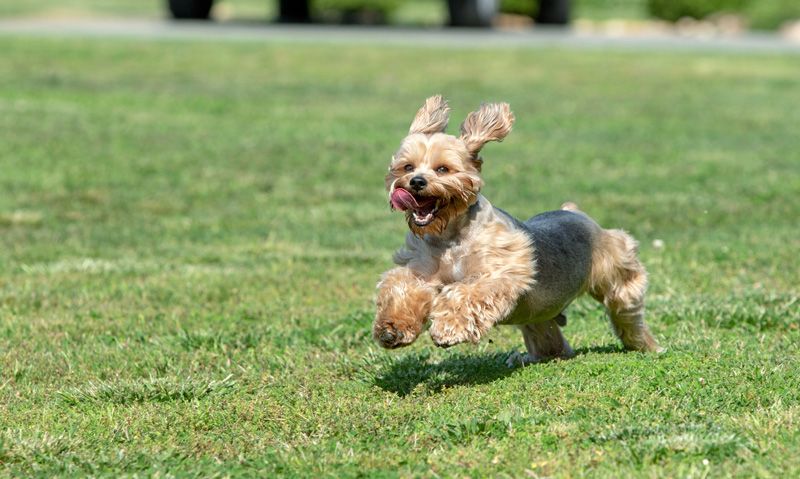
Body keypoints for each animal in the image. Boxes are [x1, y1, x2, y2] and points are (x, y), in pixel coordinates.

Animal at [376, 95, 664, 366]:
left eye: (443, 169)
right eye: (407, 167)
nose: (416, 182)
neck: (451, 236)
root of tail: (575, 212)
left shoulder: (502, 270)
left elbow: (468, 293)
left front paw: (448, 328)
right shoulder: (421, 269)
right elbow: (401, 287)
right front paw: (392, 328)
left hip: (615, 268)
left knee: (626, 308)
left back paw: (647, 345)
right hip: (539, 315)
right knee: (549, 339)